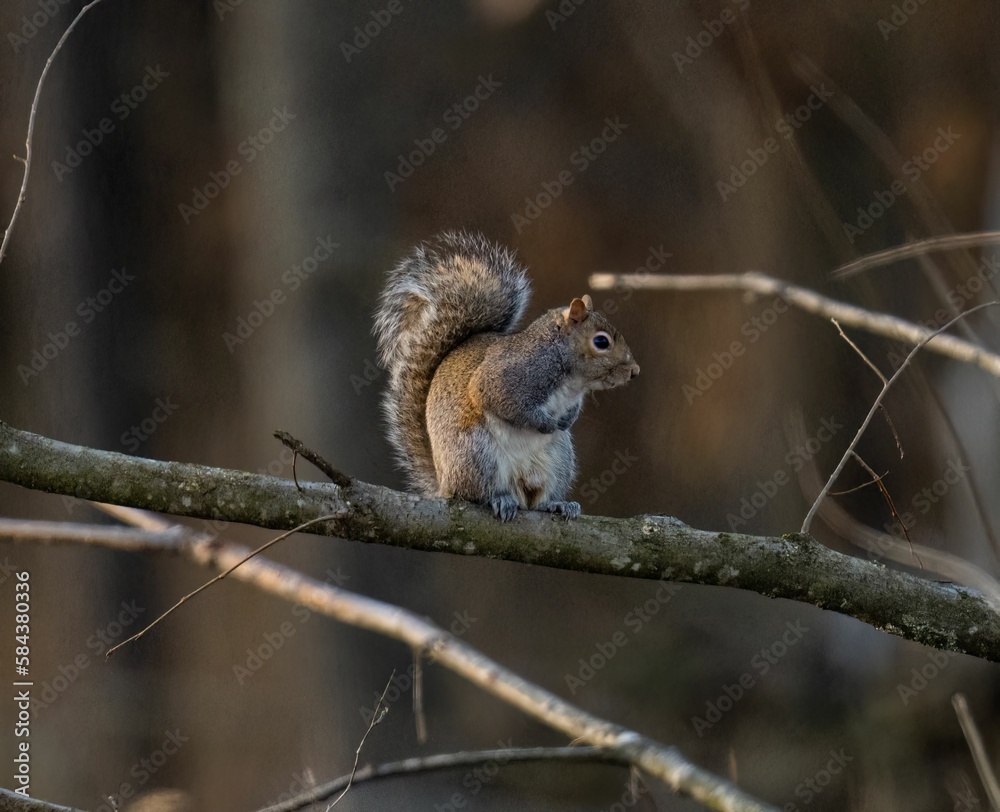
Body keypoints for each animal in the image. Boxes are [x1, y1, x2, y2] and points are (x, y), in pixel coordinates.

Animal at [374, 231, 639, 521]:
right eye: (601, 342)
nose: (634, 371)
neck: (572, 381)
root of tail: (444, 484)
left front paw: (567, 420)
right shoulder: (511, 376)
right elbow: (505, 403)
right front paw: (545, 423)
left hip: (558, 459)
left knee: (536, 499)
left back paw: (557, 504)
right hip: (476, 454)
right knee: (478, 493)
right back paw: (499, 499)